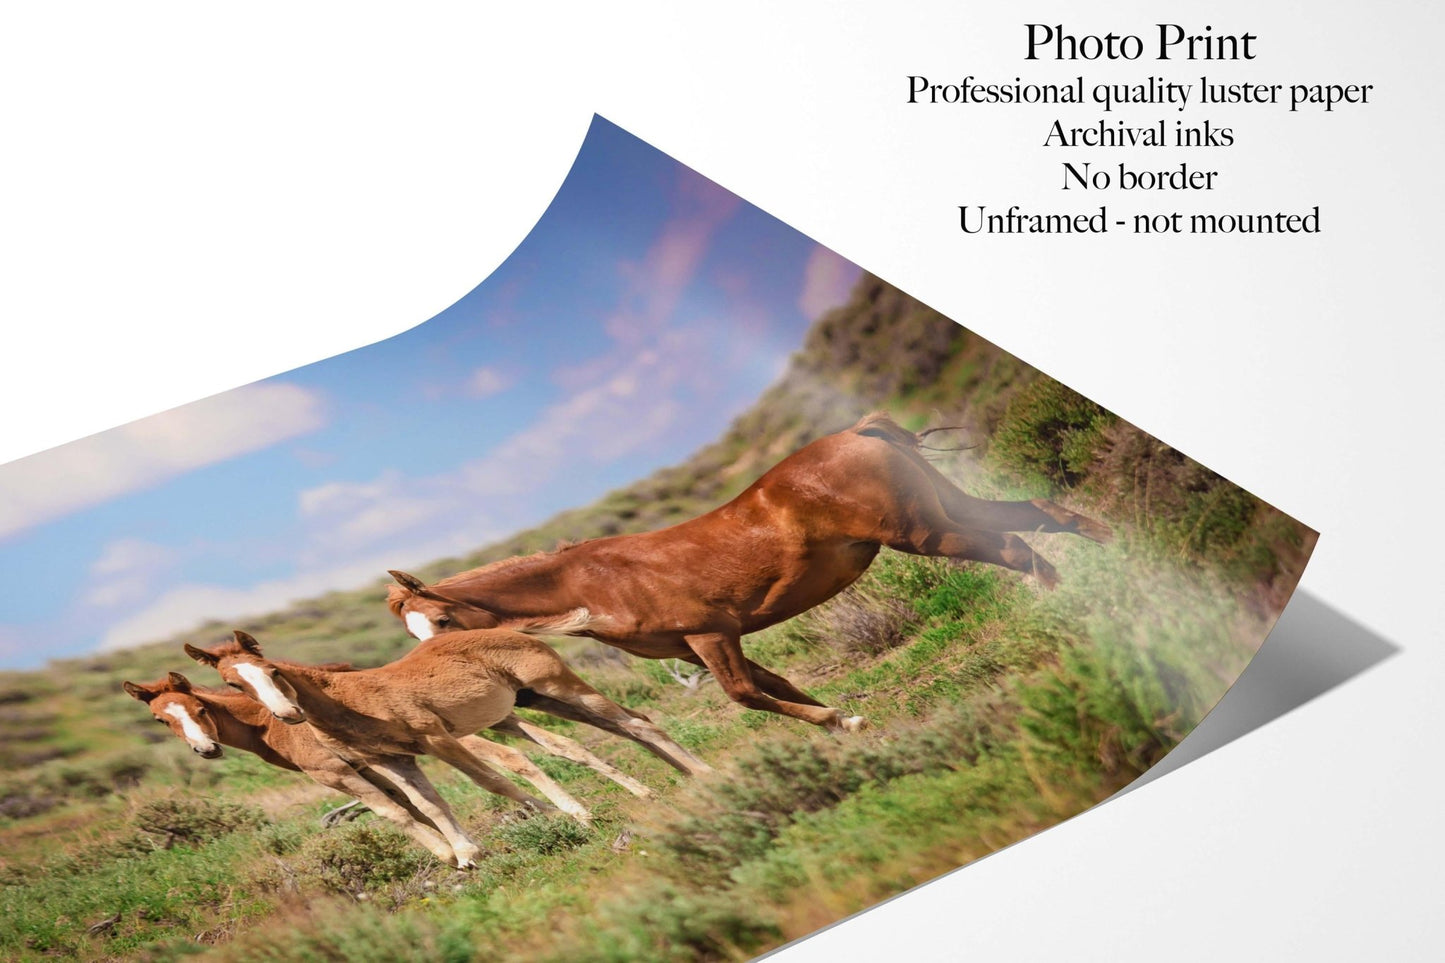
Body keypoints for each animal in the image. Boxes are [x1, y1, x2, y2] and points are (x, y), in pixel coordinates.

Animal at [185, 630, 709, 861]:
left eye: (272, 670)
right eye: (233, 684)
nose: (287, 715)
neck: (348, 703)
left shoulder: (435, 739)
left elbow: (491, 780)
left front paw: (568, 817)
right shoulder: (392, 761)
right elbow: (428, 806)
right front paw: (466, 854)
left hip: (557, 685)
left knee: (635, 724)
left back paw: (695, 779)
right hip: (534, 699)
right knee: (625, 726)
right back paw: (673, 781)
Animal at [386, 412, 1112, 731]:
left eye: (443, 619)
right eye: (412, 634)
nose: (438, 667)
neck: (594, 583)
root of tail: (861, 431)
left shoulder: (710, 635)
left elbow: (744, 694)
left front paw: (837, 722)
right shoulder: (697, 645)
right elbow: (774, 683)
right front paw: (841, 720)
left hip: (923, 533)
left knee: (1012, 548)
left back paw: (1075, 615)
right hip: (947, 508)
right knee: (1040, 516)